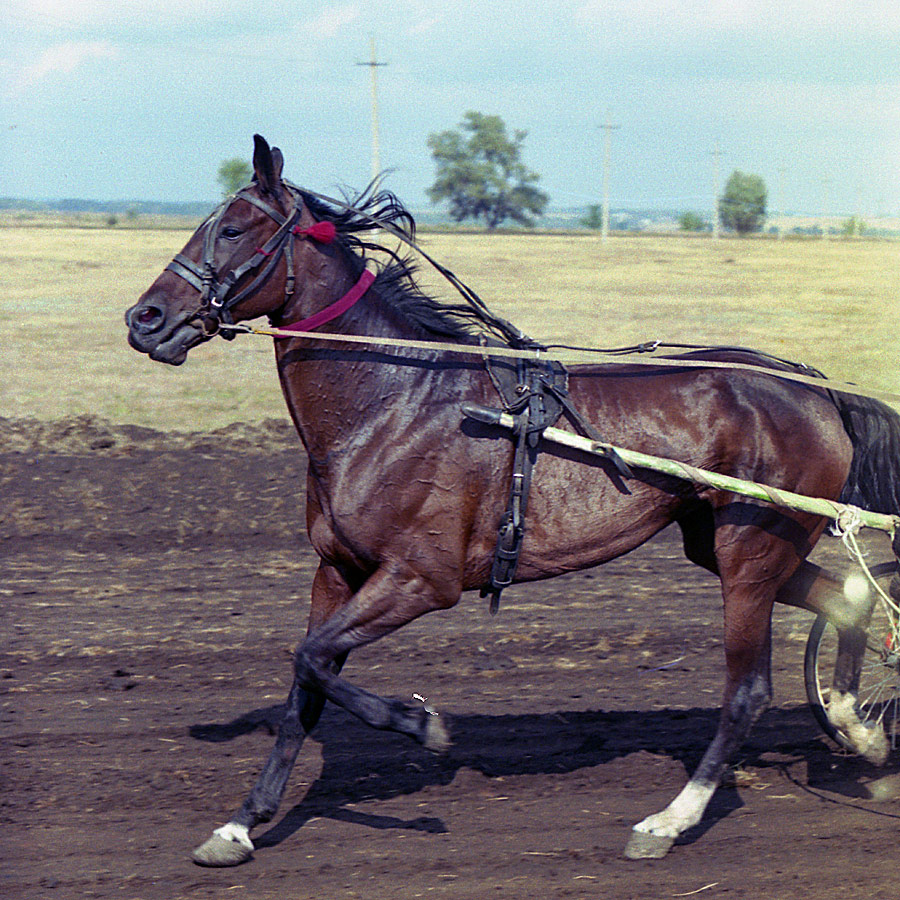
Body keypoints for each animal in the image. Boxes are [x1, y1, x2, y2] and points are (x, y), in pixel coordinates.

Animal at [125, 137, 900, 868]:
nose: (144, 318)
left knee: (748, 690)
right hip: (724, 543)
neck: (393, 400)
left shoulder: (422, 578)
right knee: (855, 598)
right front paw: (239, 825)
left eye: (231, 229)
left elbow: (312, 657)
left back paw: (669, 820)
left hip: (752, 552)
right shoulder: (336, 571)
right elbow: (303, 683)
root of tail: (819, 391)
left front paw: (421, 723)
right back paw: (858, 726)